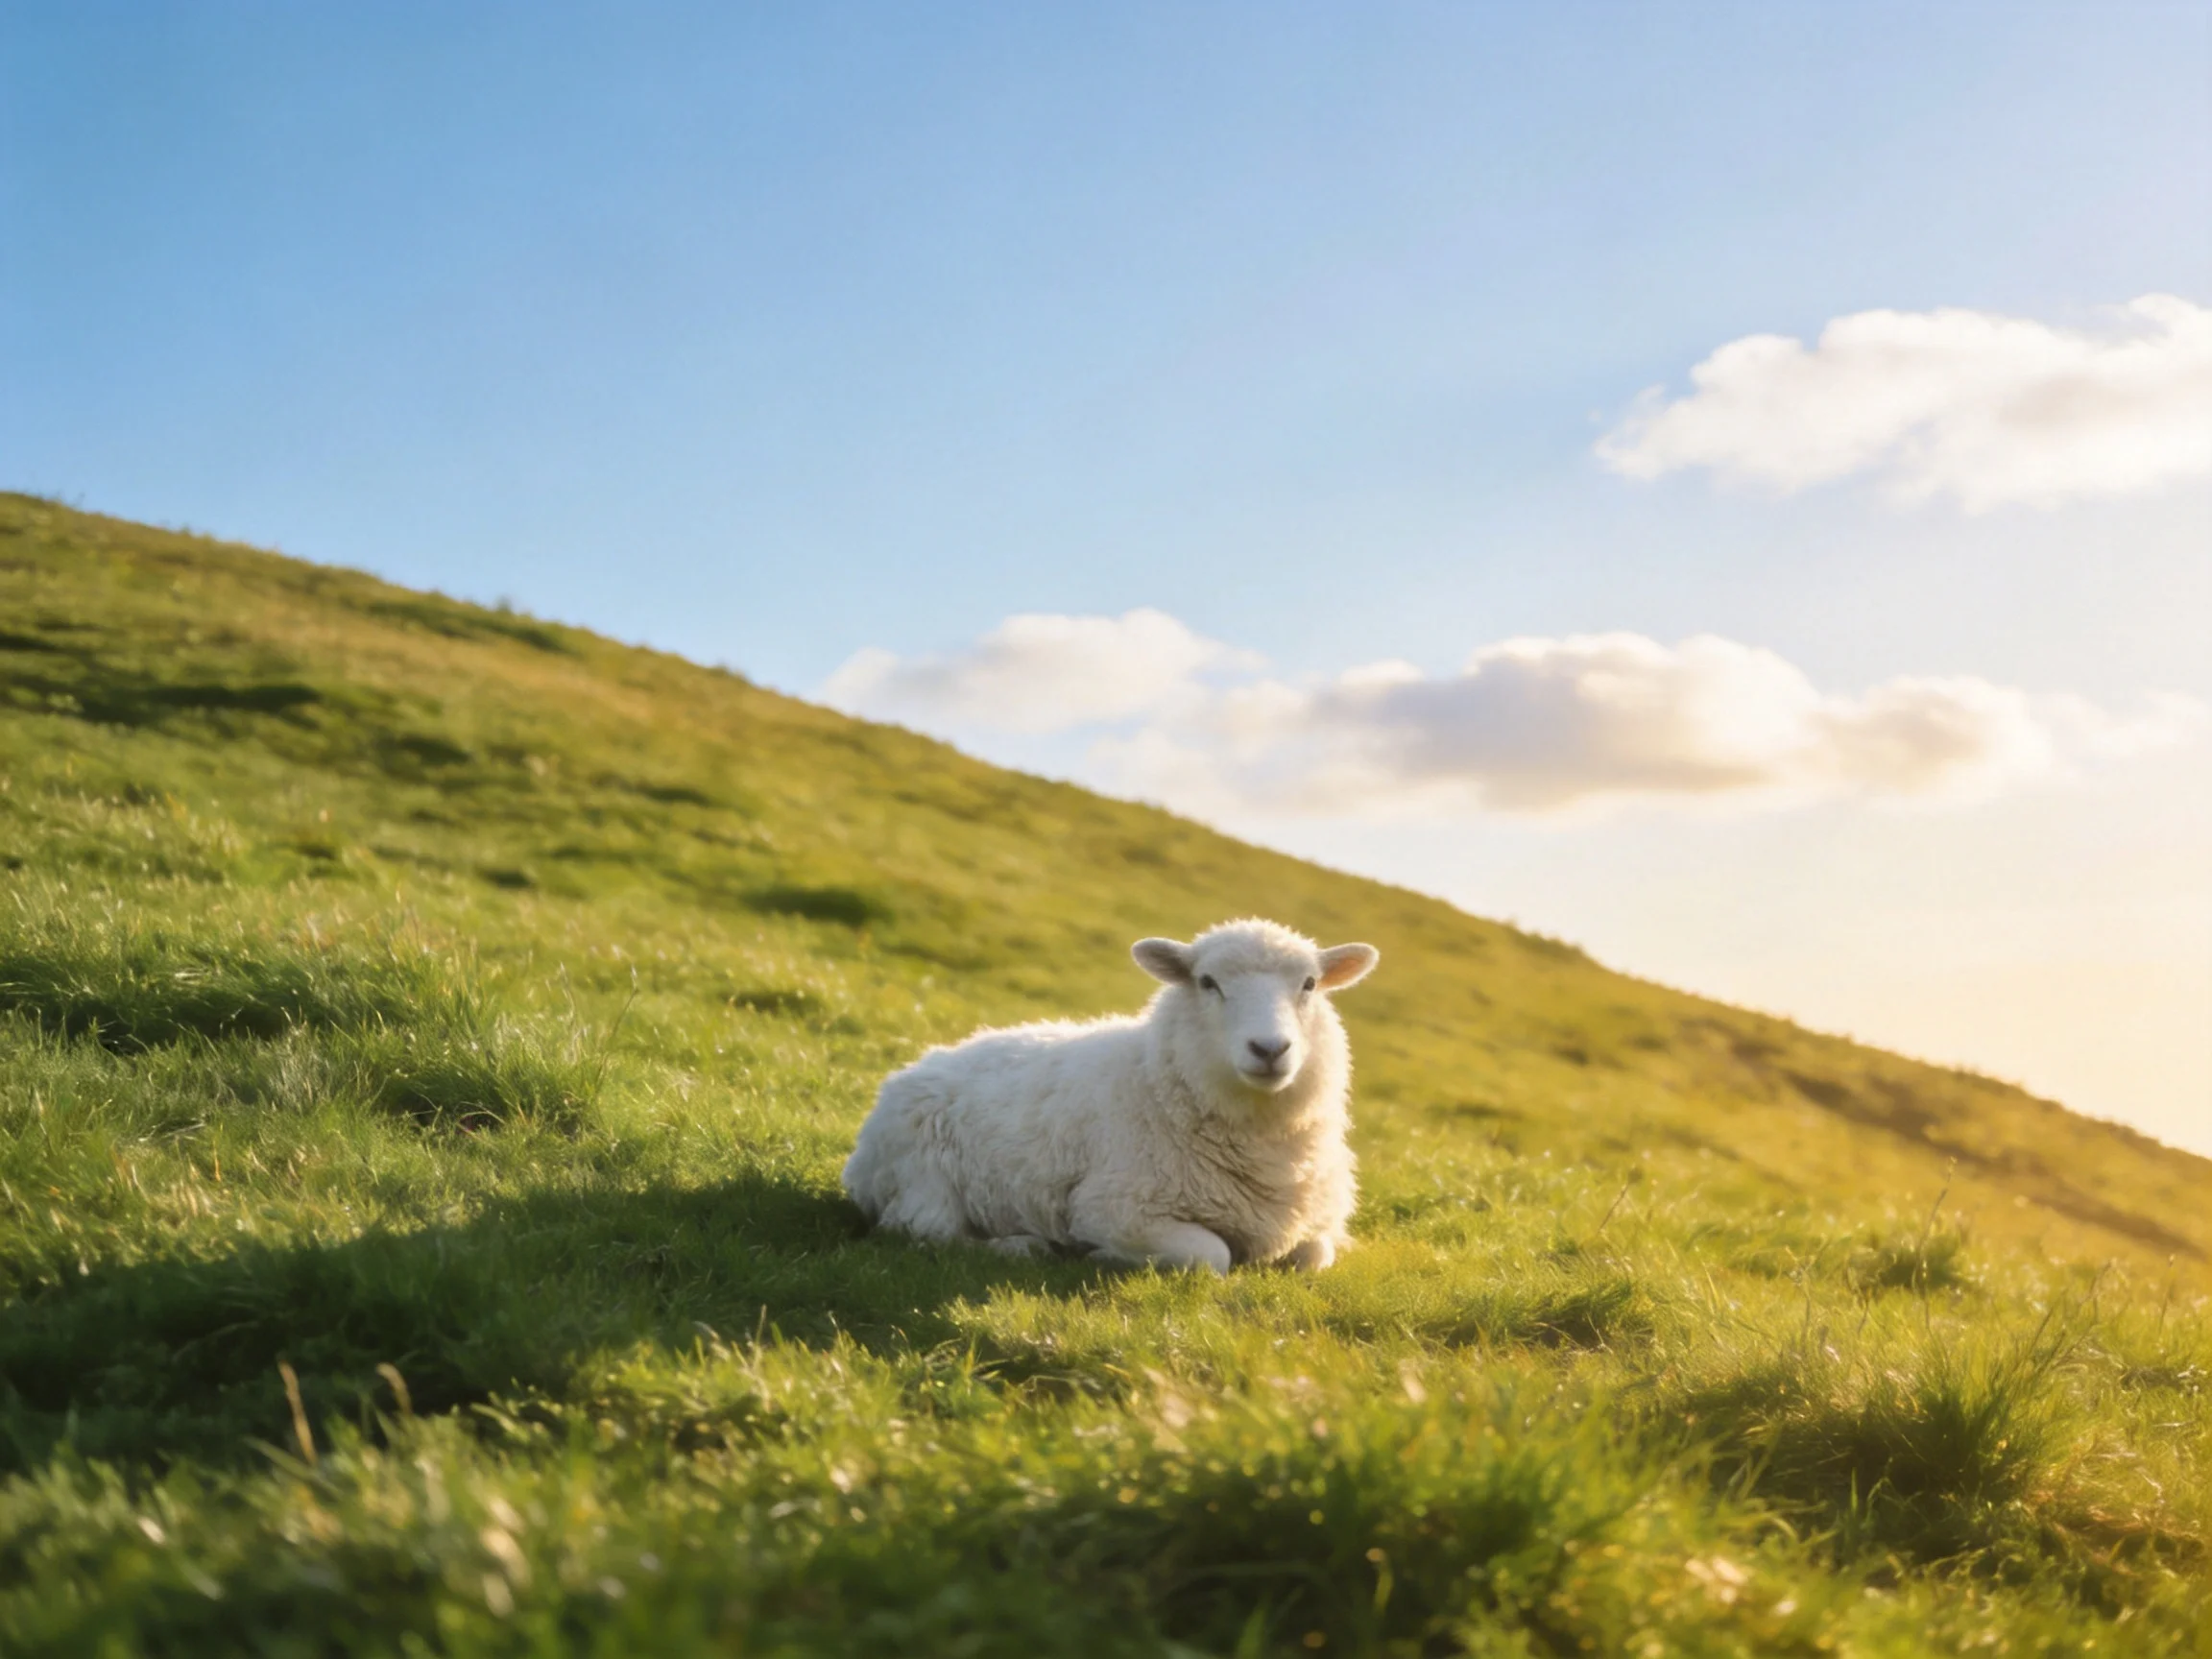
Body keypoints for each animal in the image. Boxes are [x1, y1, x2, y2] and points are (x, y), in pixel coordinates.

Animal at [841, 918, 1379, 1274]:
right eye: (1208, 982)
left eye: (1309, 984)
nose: (1269, 1049)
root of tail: (914, 1065)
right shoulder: (1113, 1208)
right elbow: (1211, 1254)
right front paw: (1101, 1255)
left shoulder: (1312, 1223)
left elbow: (1316, 1255)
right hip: (923, 1183)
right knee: (925, 1232)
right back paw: (1020, 1246)